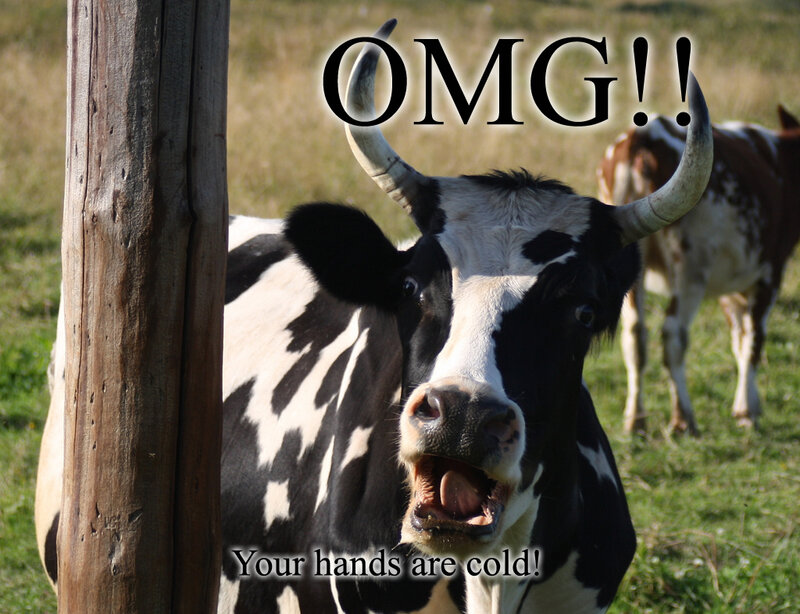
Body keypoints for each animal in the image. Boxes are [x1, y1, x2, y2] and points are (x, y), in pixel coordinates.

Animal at [598, 105, 800, 435]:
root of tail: (644, 135)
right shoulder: (770, 273)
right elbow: (753, 340)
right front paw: (747, 410)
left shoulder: (732, 288)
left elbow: (738, 338)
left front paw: (747, 405)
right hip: (691, 268)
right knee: (673, 334)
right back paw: (683, 418)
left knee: (634, 336)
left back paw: (636, 419)